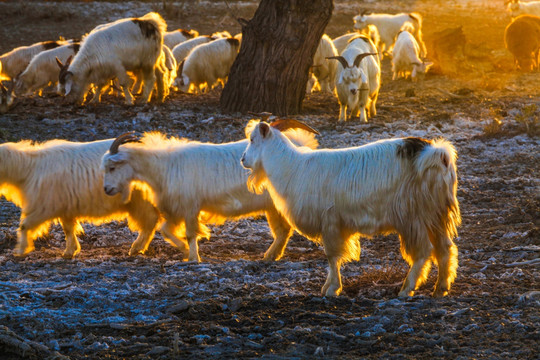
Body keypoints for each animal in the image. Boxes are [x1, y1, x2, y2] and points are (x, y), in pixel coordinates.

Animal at [0, 138, 160, 258]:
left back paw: (136, 248)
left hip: (140, 200)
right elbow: (68, 229)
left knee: (150, 221)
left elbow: (25, 225)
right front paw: (70, 251)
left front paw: (20, 250)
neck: (29, 168)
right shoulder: (64, 205)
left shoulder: (44, 205)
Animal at [102, 129, 318, 262]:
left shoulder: (190, 206)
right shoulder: (177, 209)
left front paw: (193, 257)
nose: (106, 189)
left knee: (283, 231)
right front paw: (185, 250)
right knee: (283, 232)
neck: (166, 165)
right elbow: (166, 230)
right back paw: (270, 256)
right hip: (273, 206)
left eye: (112, 167)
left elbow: (190, 233)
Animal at [243, 120, 462, 298]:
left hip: (413, 215)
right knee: (445, 248)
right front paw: (328, 286)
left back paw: (406, 289)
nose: (243, 159)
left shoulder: (330, 221)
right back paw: (440, 288)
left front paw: (332, 289)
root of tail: (437, 153)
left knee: (424, 251)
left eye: (253, 139)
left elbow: (332, 256)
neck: (293, 167)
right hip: (436, 214)